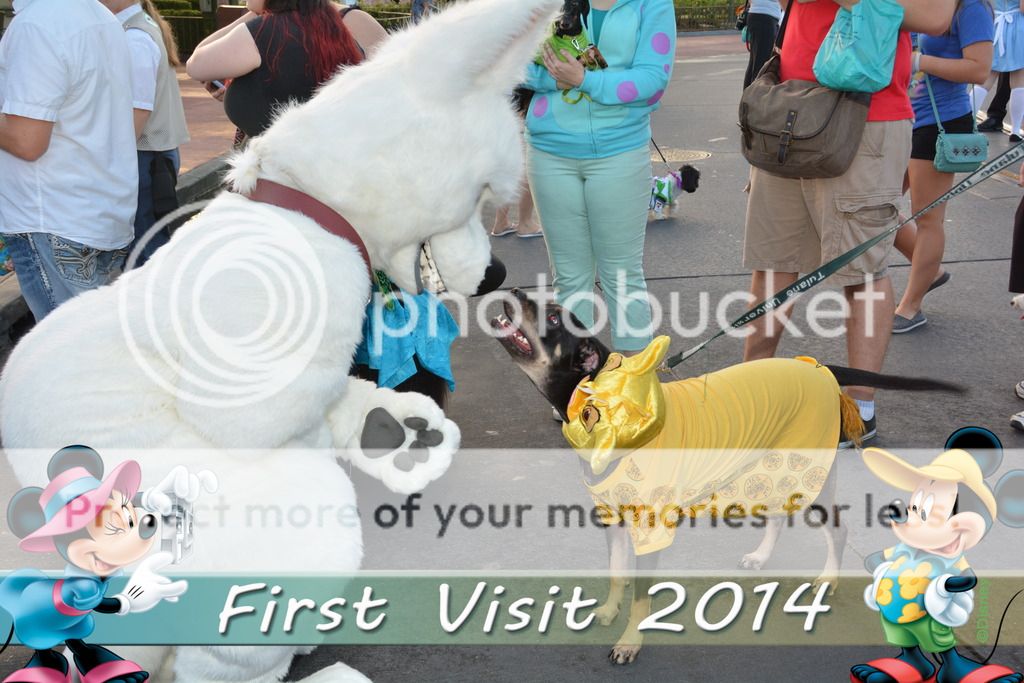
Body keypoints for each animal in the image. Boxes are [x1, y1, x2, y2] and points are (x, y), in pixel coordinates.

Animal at [491, 286, 962, 663]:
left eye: (553, 317)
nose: (512, 288)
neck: (605, 413)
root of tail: (818, 368)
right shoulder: (611, 516)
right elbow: (616, 572)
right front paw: (609, 609)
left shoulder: (651, 530)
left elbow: (641, 597)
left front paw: (630, 641)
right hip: (774, 468)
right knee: (777, 517)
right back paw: (762, 556)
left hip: (810, 478)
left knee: (838, 530)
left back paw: (827, 580)